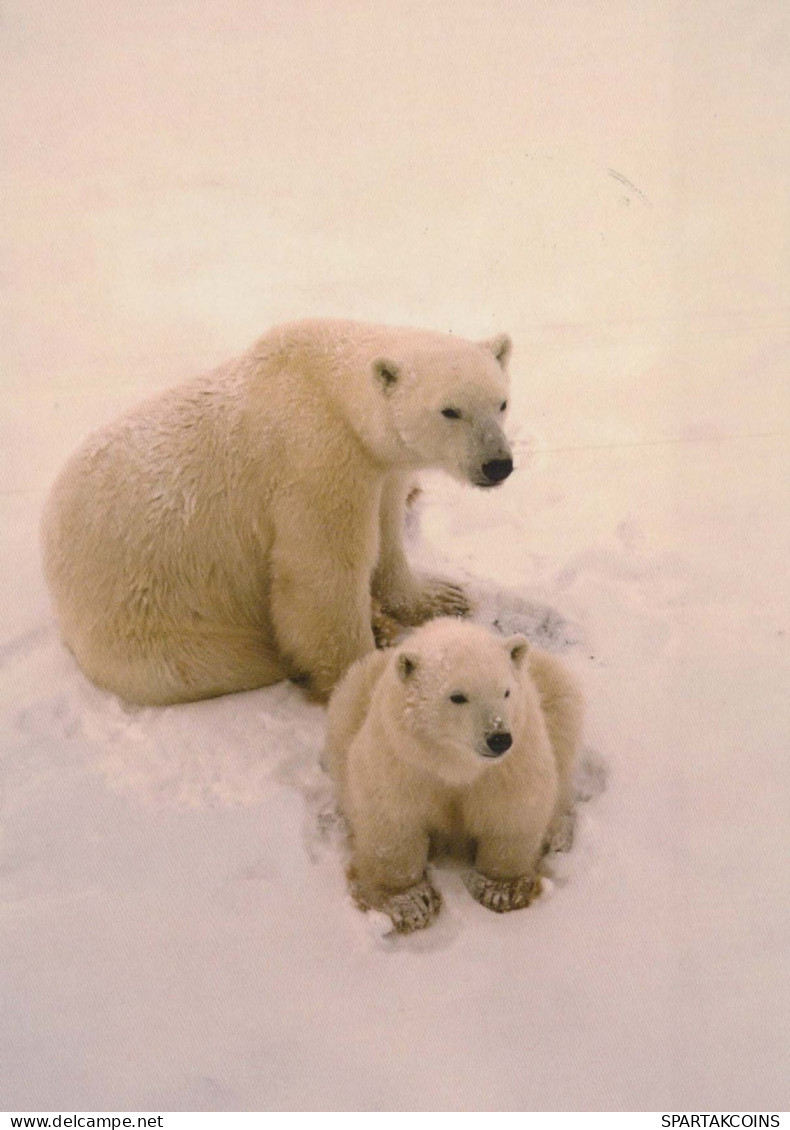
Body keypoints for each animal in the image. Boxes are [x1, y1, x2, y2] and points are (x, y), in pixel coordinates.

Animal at [43, 320, 515, 705]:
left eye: (501, 402)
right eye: (450, 410)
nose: (498, 464)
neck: (332, 391)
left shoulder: (377, 470)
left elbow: (387, 536)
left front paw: (443, 598)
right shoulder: (315, 461)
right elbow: (322, 574)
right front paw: (360, 679)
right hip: (154, 623)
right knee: (225, 660)